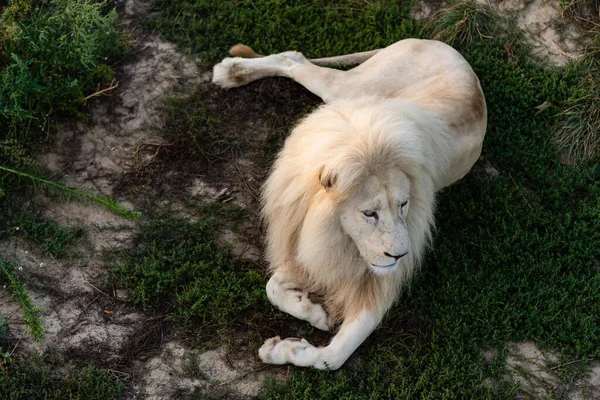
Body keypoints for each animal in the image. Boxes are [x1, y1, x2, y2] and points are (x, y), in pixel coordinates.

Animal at [213, 39, 486, 370]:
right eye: (369, 213)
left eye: (404, 205)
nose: (400, 256)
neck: (333, 231)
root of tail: (437, 43)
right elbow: (272, 287)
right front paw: (313, 312)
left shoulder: (355, 270)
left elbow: (331, 355)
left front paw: (290, 342)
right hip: (353, 86)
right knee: (294, 59)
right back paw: (230, 72)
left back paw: (232, 72)